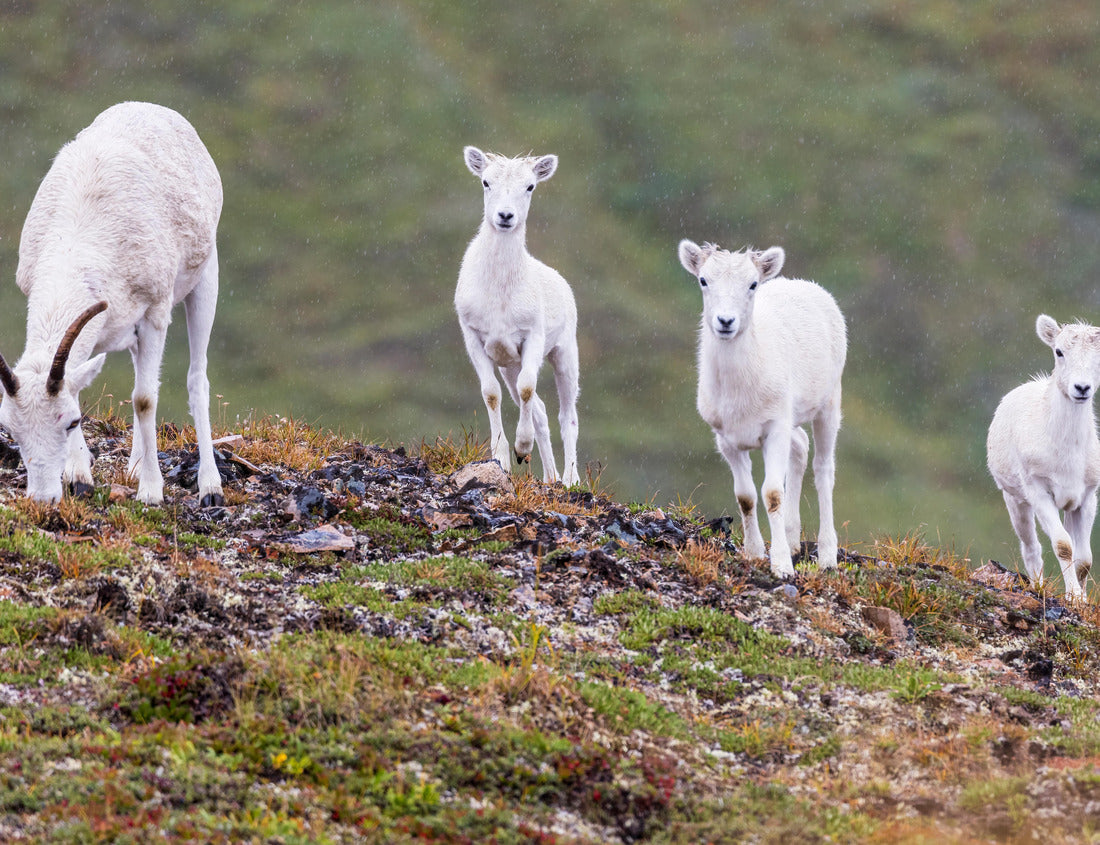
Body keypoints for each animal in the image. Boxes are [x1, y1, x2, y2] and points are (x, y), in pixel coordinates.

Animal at [0, 101, 224, 506]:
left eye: (71, 422)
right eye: (10, 430)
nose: (42, 499)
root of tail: (155, 108)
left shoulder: (154, 316)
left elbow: (145, 399)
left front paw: (151, 493)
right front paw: (79, 479)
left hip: (205, 281)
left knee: (196, 377)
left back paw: (210, 487)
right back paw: (133, 467)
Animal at [455, 146, 580, 485]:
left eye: (530, 186)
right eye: (486, 182)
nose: (505, 216)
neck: (500, 292)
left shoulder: (532, 337)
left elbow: (527, 388)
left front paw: (522, 448)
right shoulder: (475, 339)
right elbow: (491, 394)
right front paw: (504, 458)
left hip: (564, 355)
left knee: (567, 416)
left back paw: (570, 479)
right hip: (510, 365)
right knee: (540, 410)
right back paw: (549, 477)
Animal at [678, 240, 847, 577]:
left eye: (753, 284)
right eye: (703, 280)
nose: (725, 322)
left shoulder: (774, 431)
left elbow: (772, 494)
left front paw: (781, 565)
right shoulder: (728, 441)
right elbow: (745, 497)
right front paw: (754, 553)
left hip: (828, 407)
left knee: (823, 470)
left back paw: (826, 557)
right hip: (792, 419)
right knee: (801, 448)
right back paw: (794, 542)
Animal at [987, 315, 1100, 599]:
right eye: (1059, 351)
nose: (1081, 388)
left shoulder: (1086, 498)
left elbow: (1084, 559)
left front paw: (1082, 599)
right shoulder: (1039, 492)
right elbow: (1063, 546)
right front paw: (1074, 598)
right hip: (1016, 501)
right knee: (1031, 549)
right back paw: (1037, 585)